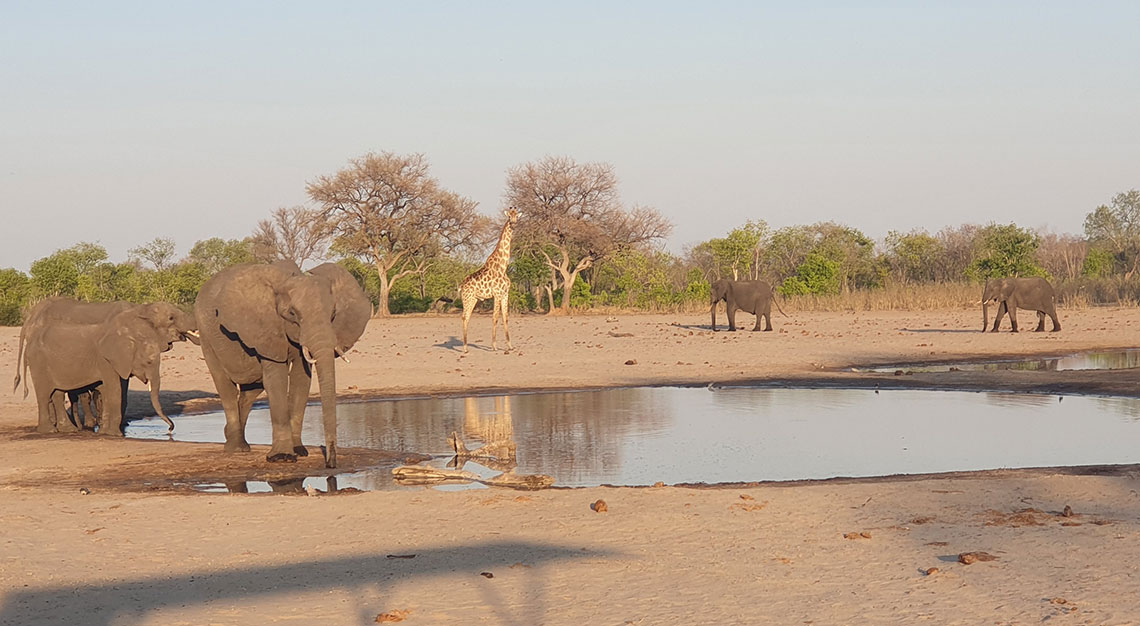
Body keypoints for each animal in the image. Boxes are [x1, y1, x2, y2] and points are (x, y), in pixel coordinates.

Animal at [26, 307, 171, 435]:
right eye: (149, 362)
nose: (170, 429)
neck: (128, 336)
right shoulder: (105, 360)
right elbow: (114, 391)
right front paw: (114, 434)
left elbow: (105, 391)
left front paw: (104, 431)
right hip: (38, 362)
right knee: (44, 395)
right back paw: (49, 430)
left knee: (58, 393)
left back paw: (68, 429)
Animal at [194, 256, 369, 465]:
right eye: (292, 313)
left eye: (333, 313)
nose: (331, 463)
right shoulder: (266, 328)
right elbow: (277, 379)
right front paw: (282, 457)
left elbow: (301, 380)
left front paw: (299, 451)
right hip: (206, 336)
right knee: (224, 385)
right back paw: (236, 449)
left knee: (251, 391)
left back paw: (232, 438)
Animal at [460, 208, 519, 351]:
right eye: (509, 216)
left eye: (517, 216)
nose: (513, 224)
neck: (503, 266)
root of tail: (461, 286)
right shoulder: (497, 294)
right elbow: (495, 318)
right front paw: (494, 346)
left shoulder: (505, 294)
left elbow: (505, 318)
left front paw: (510, 346)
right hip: (467, 299)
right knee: (464, 317)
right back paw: (465, 348)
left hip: (474, 299)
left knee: (467, 317)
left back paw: (466, 346)